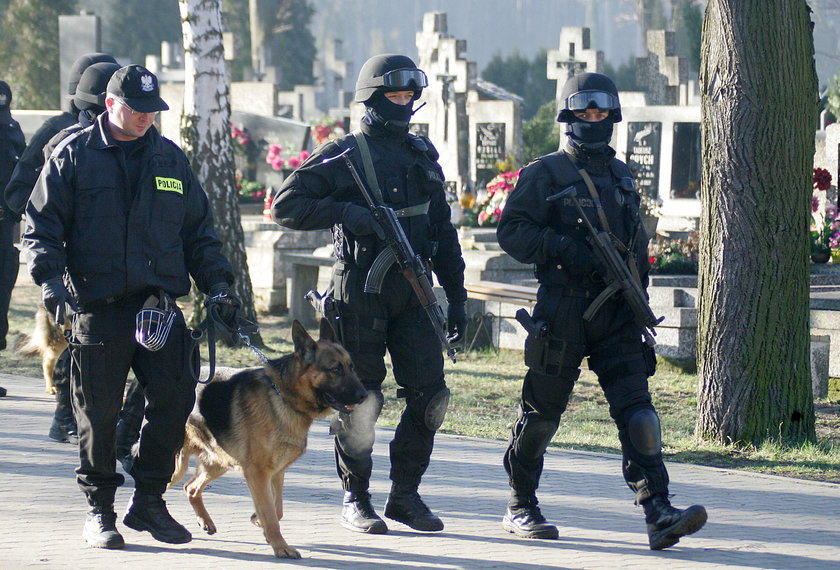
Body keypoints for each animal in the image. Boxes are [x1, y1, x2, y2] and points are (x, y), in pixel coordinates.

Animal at [169, 318, 366, 556]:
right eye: (335, 369)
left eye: (351, 367)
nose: (364, 395)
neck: (283, 397)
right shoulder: (258, 473)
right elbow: (271, 514)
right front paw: (281, 547)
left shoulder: (276, 472)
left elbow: (276, 509)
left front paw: (260, 523)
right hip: (175, 465)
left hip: (217, 462)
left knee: (190, 487)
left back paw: (205, 521)